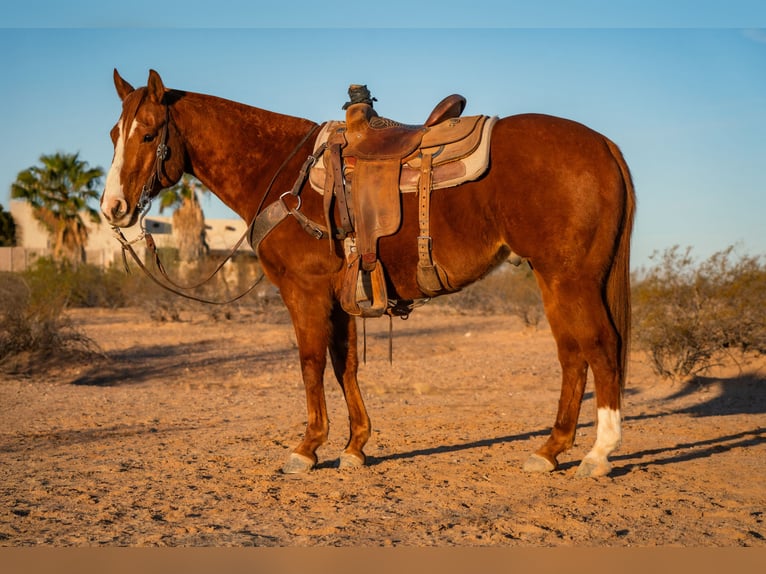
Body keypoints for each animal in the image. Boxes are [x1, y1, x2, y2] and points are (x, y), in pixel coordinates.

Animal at [103, 70, 640, 480]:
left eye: (148, 134)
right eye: (114, 134)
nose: (114, 208)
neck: (283, 174)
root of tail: (604, 145)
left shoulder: (304, 290)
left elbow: (311, 363)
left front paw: (307, 449)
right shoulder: (339, 296)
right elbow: (346, 365)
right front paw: (355, 446)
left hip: (570, 277)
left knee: (599, 346)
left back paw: (598, 454)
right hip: (556, 278)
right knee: (572, 354)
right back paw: (550, 450)